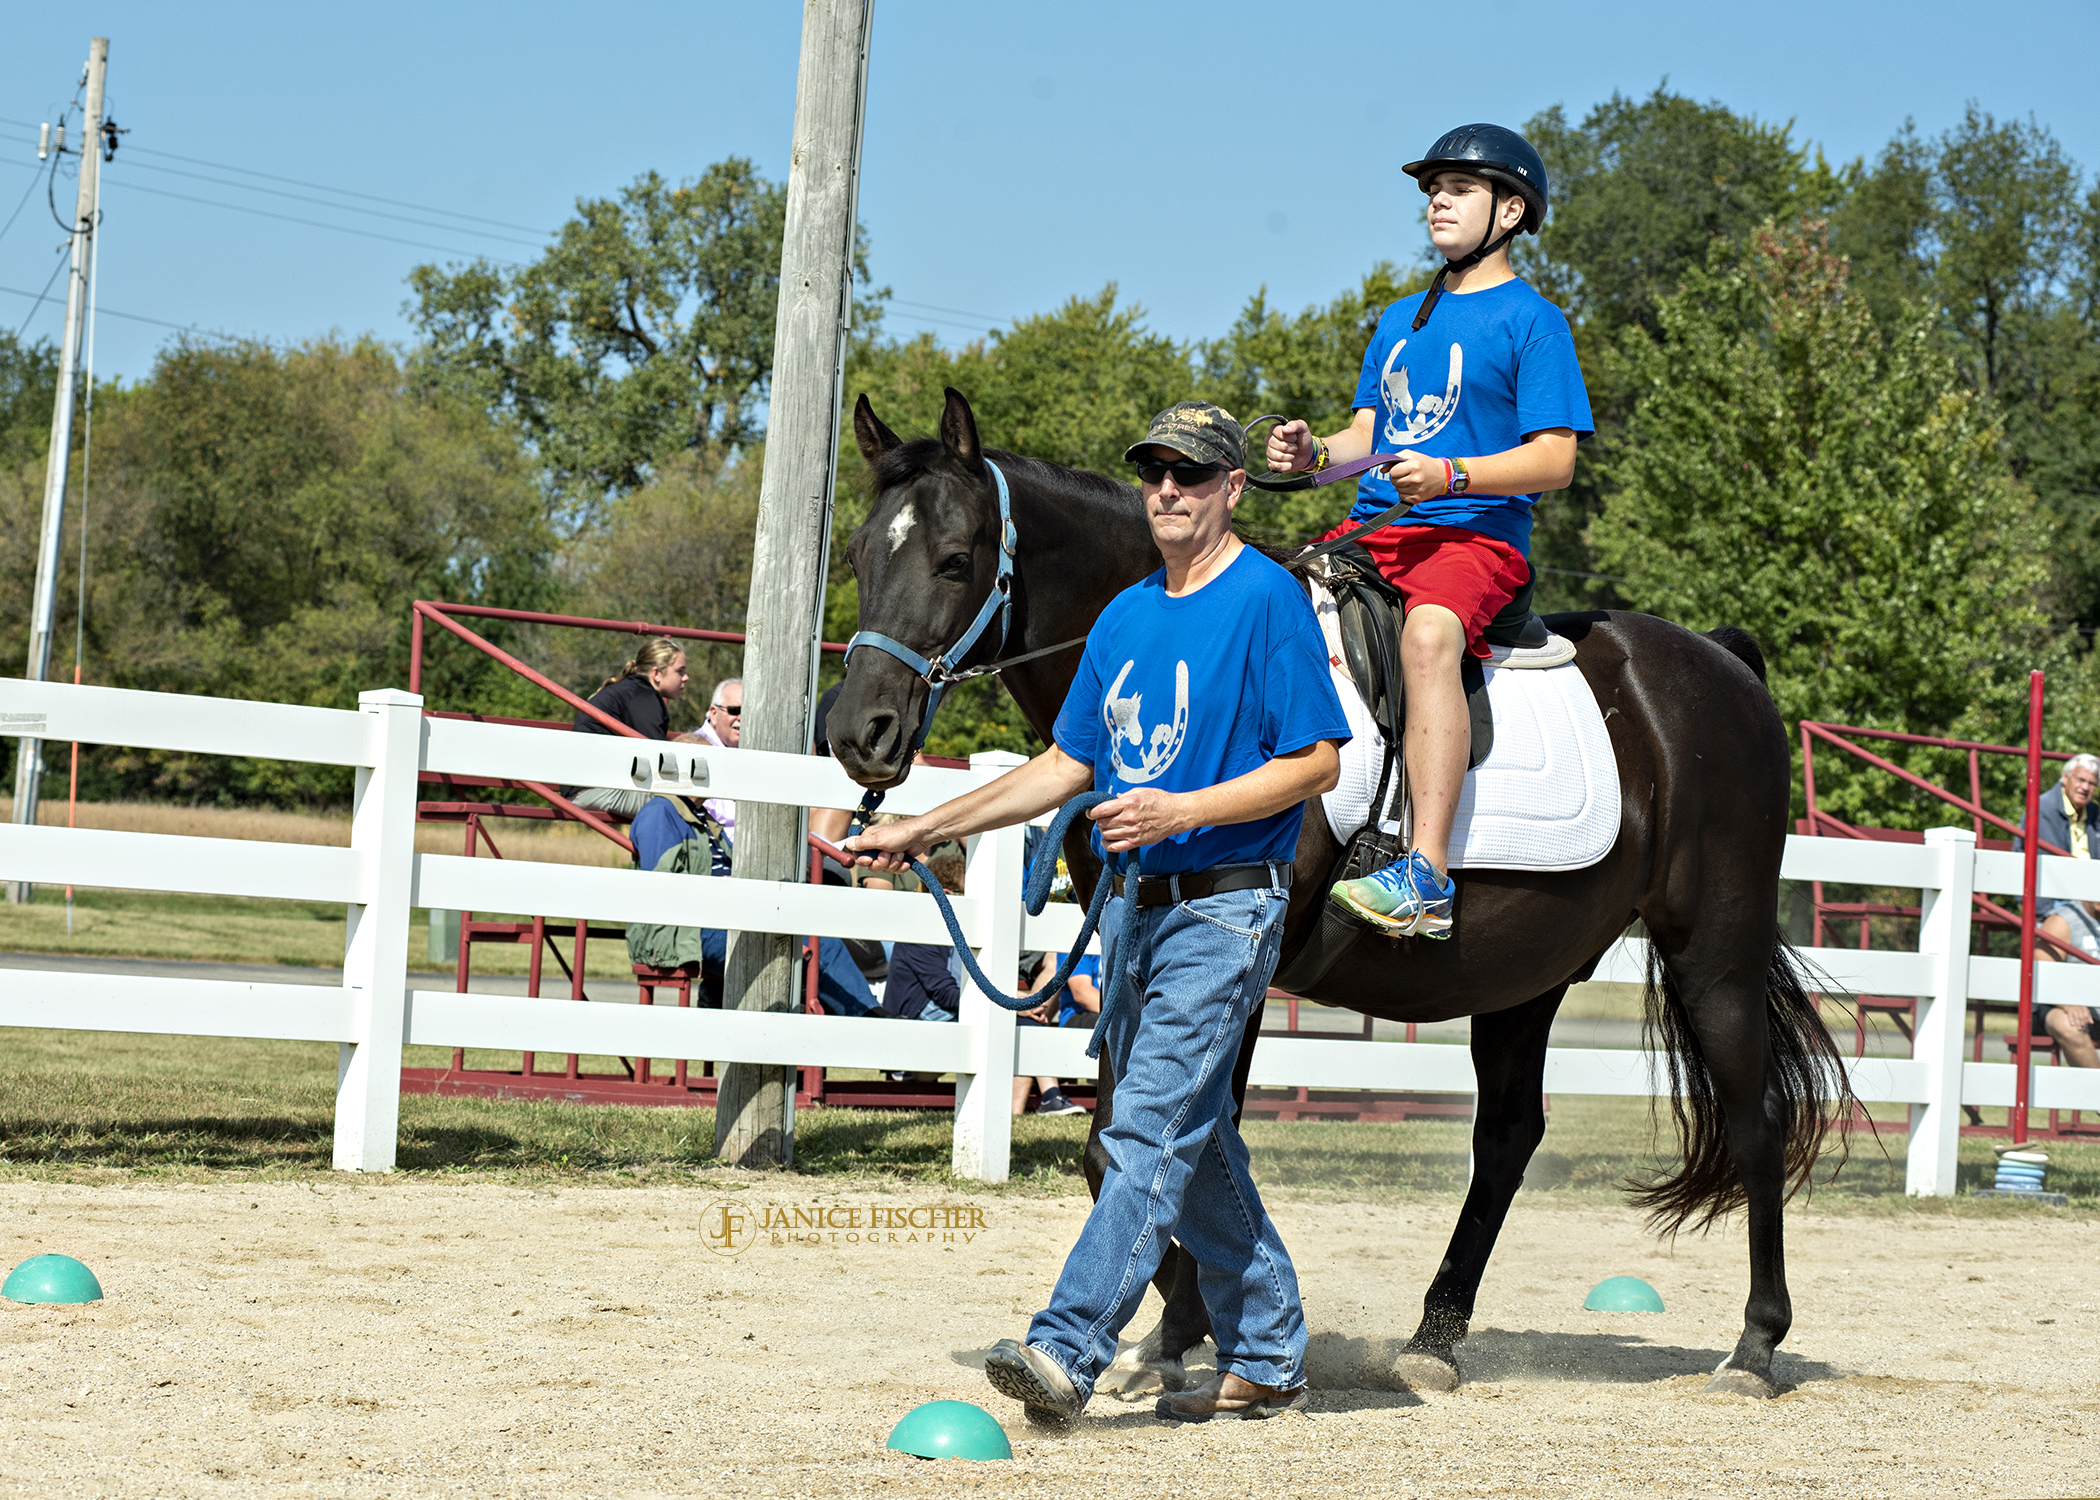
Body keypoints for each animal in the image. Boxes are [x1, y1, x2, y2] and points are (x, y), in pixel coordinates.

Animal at [827, 387, 1847, 1401]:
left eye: (955, 560)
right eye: (861, 551)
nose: (855, 731)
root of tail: (1720, 665)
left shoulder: (1244, 955)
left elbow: (1189, 1138)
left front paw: (1189, 1335)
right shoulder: (1133, 951)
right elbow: (1122, 1143)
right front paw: (1173, 1336)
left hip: (1713, 951)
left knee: (1758, 1121)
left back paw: (1755, 1348)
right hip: (1526, 977)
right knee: (1508, 1138)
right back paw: (1435, 1338)